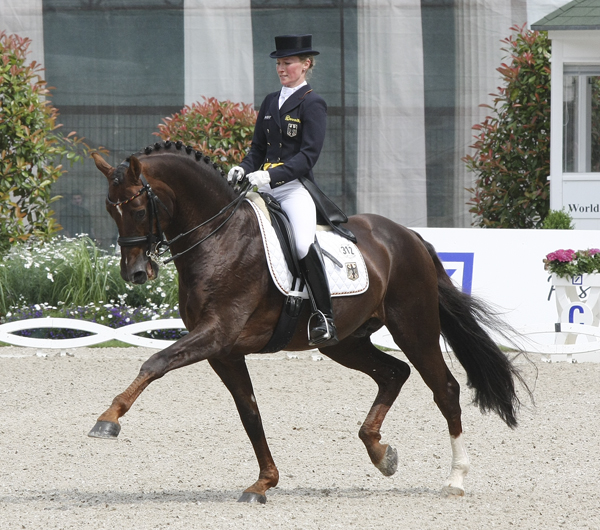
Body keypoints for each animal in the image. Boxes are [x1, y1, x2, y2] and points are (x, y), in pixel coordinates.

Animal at [90, 139, 528, 500]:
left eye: (137, 208)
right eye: (110, 209)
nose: (135, 273)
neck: (219, 237)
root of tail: (409, 237)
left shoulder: (216, 333)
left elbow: (155, 362)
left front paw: (108, 420)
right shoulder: (223, 351)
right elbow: (250, 412)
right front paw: (264, 483)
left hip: (414, 327)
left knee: (445, 389)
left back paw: (455, 478)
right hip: (345, 341)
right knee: (393, 374)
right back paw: (380, 452)